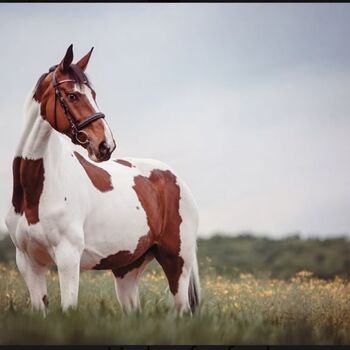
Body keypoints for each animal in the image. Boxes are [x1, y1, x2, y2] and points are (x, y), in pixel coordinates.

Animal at [4, 45, 200, 316]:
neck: (36, 191)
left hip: (177, 262)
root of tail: (175, 178)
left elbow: (68, 308)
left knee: (182, 309)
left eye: (93, 94)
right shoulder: (27, 262)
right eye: (72, 96)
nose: (106, 145)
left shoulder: (68, 257)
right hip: (127, 270)